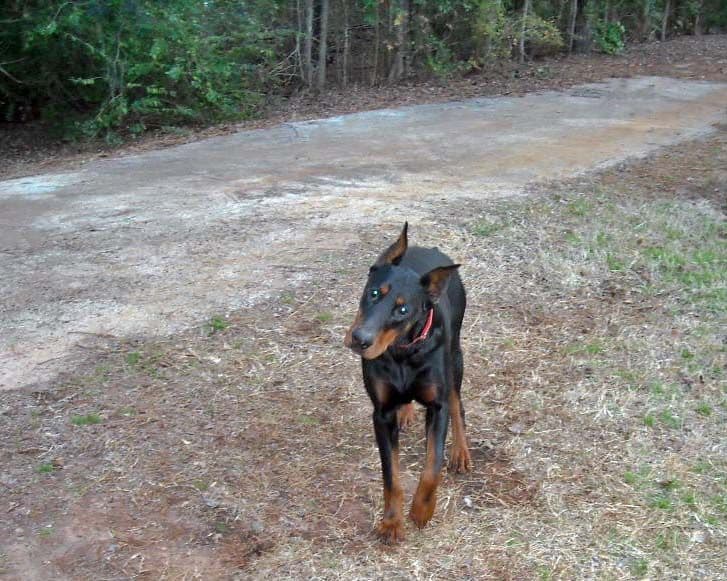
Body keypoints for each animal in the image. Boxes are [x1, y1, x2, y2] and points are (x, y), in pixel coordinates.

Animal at [346, 223, 472, 544]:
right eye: (373, 292)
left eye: (403, 310)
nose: (359, 339)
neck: (402, 353)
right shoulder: (381, 413)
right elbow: (391, 475)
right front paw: (391, 523)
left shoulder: (437, 406)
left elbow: (432, 466)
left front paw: (422, 511)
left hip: (455, 357)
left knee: (458, 404)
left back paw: (461, 452)